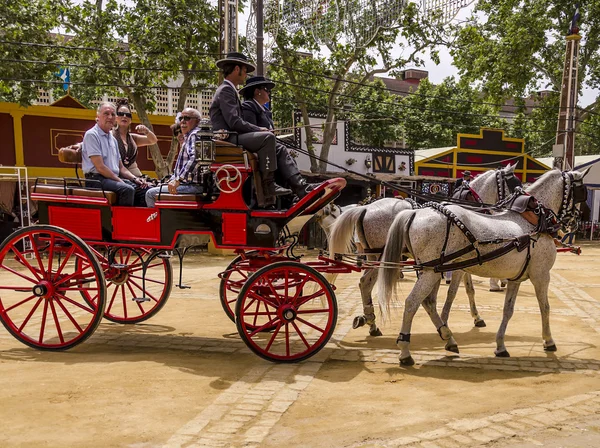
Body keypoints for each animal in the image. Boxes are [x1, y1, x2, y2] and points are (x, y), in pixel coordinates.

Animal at [328, 164, 520, 336]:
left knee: (363, 283)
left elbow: (469, 289)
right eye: (515, 184)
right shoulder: (459, 262)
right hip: (384, 257)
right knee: (366, 283)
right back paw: (371, 322)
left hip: (372, 255)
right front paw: (446, 321)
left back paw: (370, 321)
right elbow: (453, 292)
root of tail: (365, 207)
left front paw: (476, 317)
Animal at [378, 167, 588, 364]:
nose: (578, 221)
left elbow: (508, 310)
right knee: (412, 303)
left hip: (430, 271)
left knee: (428, 302)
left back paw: (448, 337)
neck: (534, 221)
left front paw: (500, 345)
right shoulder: (541, 275)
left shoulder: (516, 278)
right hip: (432, 272)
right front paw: (548, 341)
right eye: (582, 192)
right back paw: (405, 350)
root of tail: (415, 211)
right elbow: (545, 307)